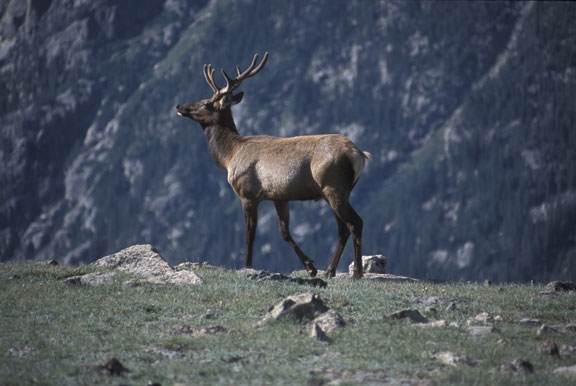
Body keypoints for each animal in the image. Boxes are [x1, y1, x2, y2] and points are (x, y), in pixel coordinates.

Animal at [176, 52, 372, 278]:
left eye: (206, 103)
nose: (179, 106)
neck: (229, 156)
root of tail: (359, 154)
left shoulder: (248, 193)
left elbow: (249, 234)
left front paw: (247, 265)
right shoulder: (280, 196)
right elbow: (284, 232)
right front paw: (310, 266)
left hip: (332, 186)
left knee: (355, 222)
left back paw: (357, 272)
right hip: (337, 191)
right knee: (343, 227)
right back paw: (330, 270)